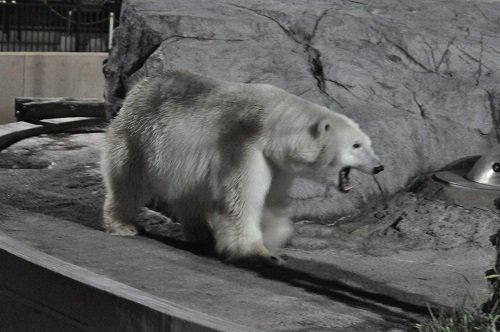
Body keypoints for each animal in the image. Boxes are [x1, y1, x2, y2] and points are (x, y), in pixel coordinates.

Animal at [101, 70, 382, 264]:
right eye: (356, 145)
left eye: (368, 142)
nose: (379, 167)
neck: (274, 126)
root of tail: (142, 84)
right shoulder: (243, 145)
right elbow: (242, 197)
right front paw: (258, 253)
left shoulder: (277, 164)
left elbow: (272, 199)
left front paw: (275, 235)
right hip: (141, 136)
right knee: (129, 180)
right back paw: (123, 225)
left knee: (189, 196)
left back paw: (203, 234)